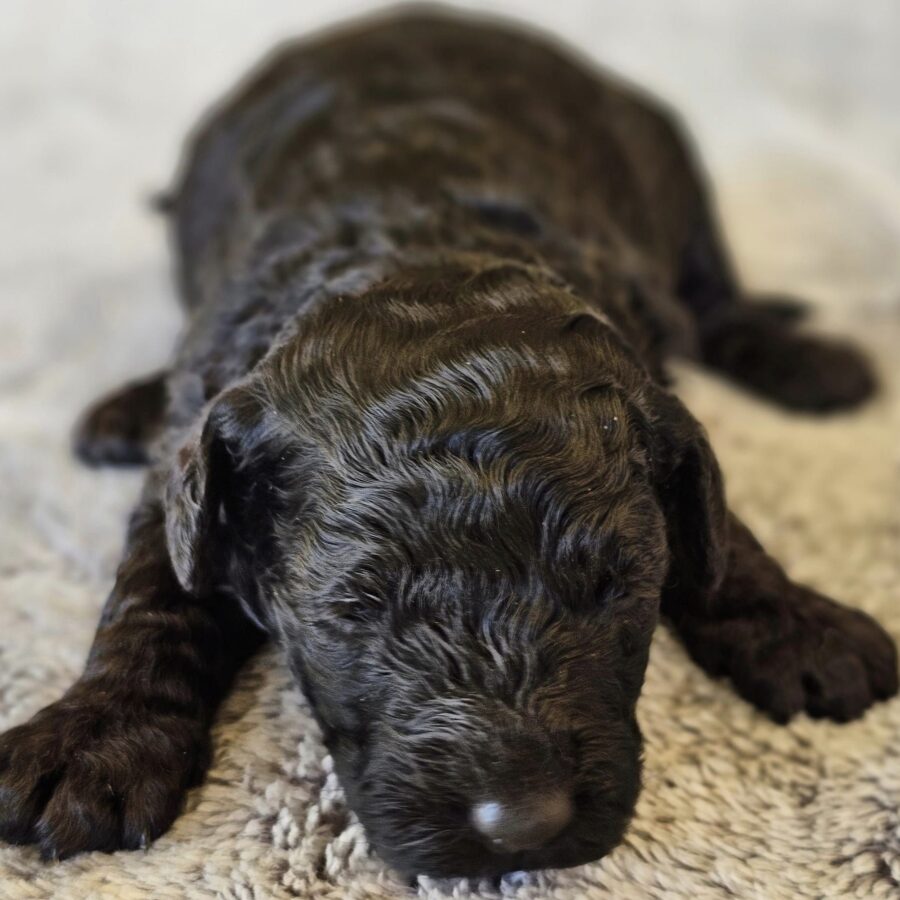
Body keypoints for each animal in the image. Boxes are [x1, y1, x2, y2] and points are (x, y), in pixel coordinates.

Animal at [0, 7, 896, 880]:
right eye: (357, 607)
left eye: (613, 589)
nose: (524, 826)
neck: (415, 249)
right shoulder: (198, 439)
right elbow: (158, 590)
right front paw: (99, 739)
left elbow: (715, 522)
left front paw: (796, 622)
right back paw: (124, 407)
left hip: (674, 175)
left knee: (714, 297)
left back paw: (807, 360)